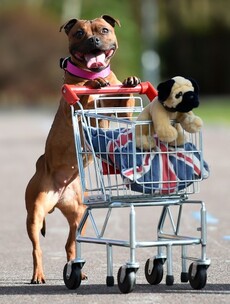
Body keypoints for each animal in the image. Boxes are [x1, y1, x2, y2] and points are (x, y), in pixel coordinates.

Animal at [25, 14, 140, 284]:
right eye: (79, 33)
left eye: (104, 30)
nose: (93, 40)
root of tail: (58, 194)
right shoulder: (77, 107)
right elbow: (86, 96)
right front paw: (95, 83)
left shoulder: (122, 111)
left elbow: (126, 100)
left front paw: (130, 81)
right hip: (34, 213)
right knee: (37, 248)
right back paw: (38, 274)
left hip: (80, 216)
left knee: (70, 244)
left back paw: (76, 269)